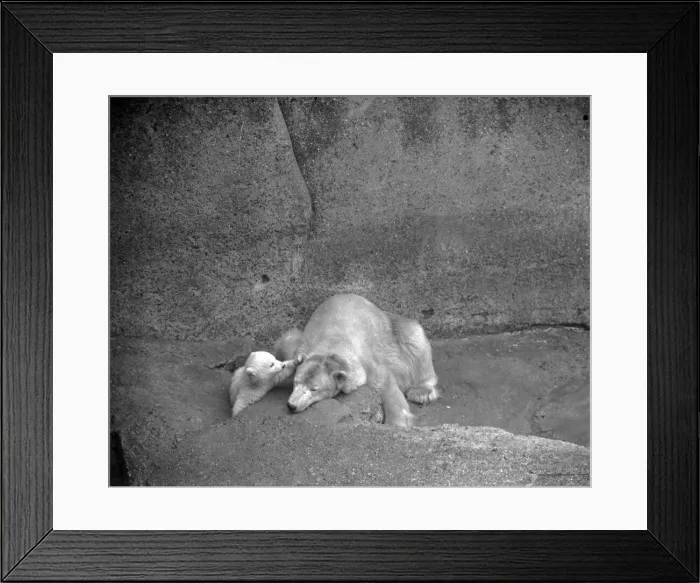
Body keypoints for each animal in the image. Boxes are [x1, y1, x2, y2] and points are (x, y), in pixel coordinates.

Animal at [278, 294, 439, 427]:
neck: (333, 343)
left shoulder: (367, 363)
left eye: (314, 389)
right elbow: (286, 342)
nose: (292, 406)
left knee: (414, 340)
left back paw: (421, 392)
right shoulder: (301, 343)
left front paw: (397, 421)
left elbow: (385, 384)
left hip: (394, 329)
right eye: (295, 382)